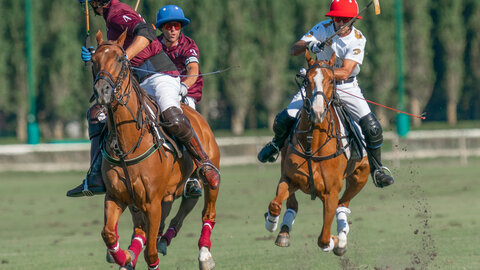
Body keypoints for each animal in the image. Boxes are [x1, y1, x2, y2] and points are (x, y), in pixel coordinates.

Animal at [91, 30, 219, 270]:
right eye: (93, 61)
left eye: (120, 59)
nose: (102, 91)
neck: (127, 145)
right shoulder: (116, 197)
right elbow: (108, 234)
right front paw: (124, 257)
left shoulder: (152, 203)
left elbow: (150, 254)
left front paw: (132, 256)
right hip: (162, 196)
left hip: (207, 175)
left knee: (208, 210)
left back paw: (205, 254)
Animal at [264, 52, 370, 255]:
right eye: (307, 80)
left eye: (331, 80)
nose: (317, 112)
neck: (313, 143)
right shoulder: (290, 178)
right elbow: (275, 204)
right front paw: (271, 223)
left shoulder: (331, 193)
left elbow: (323, 238)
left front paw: (336, 241)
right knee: (292, 204)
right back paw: (283, 232)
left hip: (361, 176)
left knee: (343, 205)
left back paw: (342, 236)